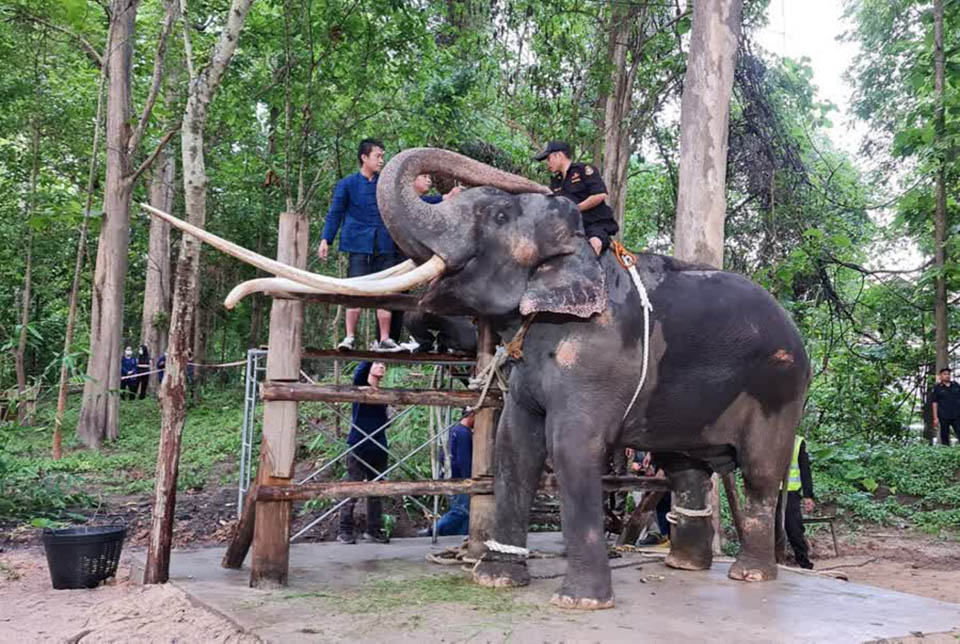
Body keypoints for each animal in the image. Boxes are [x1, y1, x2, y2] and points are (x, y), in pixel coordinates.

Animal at [376, 148, 808, 612]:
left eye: (498, 215)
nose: (549, 188)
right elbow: (512, 446)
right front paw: (495, 579)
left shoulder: (596, 358)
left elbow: (570, 449)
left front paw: (579, 601)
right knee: (684, 468)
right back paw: (683, 565)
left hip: (779, 389)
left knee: (760, 471)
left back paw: (748, 574)